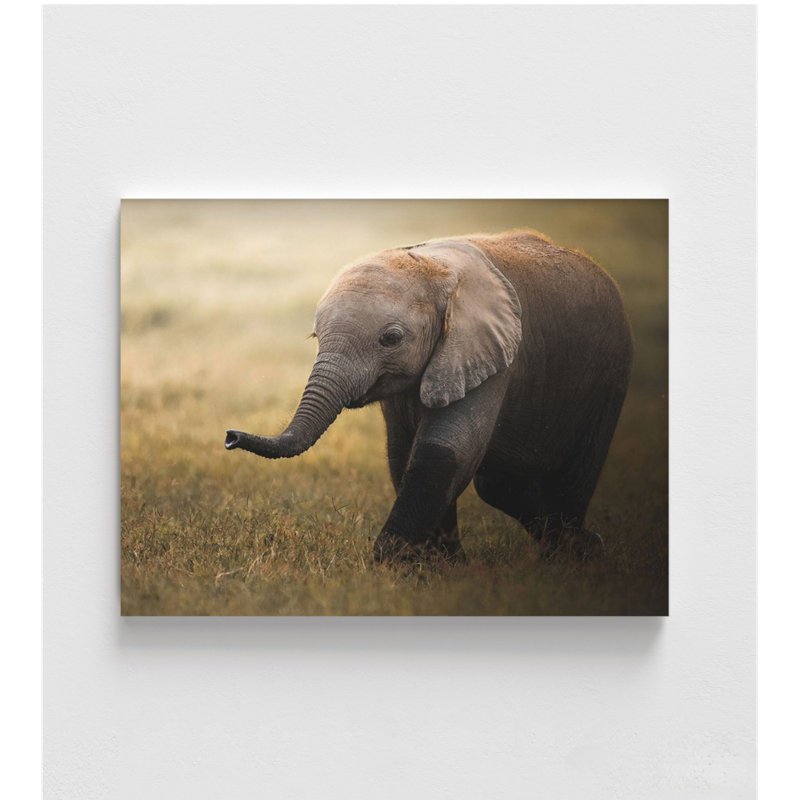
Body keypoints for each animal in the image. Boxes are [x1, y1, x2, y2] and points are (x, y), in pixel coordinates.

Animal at [225, 230, 633, 563]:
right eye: (315, 337)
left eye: (390, 339)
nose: (229, 436)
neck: (432, 267)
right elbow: (403, 454)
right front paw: (440, 567)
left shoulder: (492, 354)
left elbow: (447, 450)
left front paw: (388, 566)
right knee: (499, 485)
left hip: (610, 372)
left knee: (570, 475)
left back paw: (577, 551)